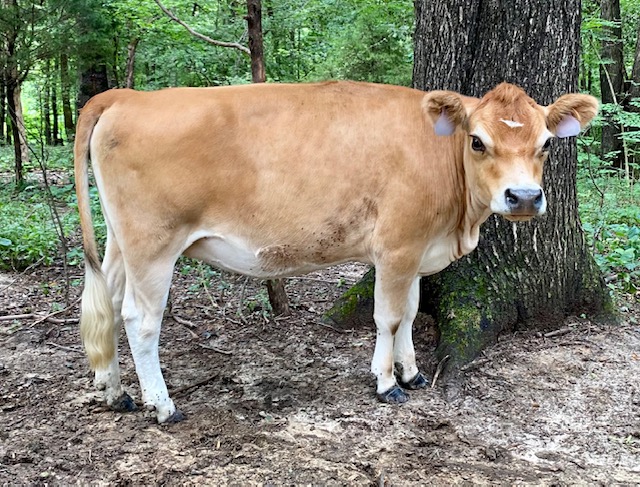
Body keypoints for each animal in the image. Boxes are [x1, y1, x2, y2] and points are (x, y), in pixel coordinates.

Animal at [75, 80, 600, 424]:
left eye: (546, 144)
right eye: (477, 141)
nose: (524, 197)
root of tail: (128, 96)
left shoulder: (415, 250)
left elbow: (411, 312)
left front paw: (412, 373)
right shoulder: (397, 246)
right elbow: (389, 317)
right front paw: (386, 383)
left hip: (120, 243)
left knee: (109, 305)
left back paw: (115, 391)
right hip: (153, 245)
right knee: (140, 320)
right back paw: (162, 405)